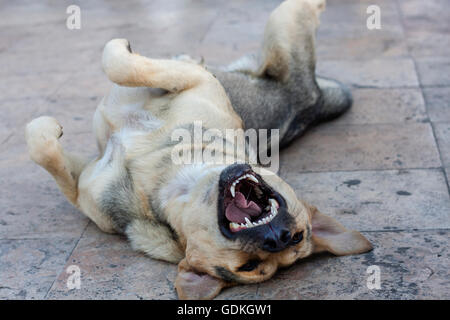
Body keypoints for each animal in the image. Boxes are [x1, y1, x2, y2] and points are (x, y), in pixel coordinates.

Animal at [26, 0, 372, 300]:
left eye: (247, 266)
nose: (277, 237)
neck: (169, 184)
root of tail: (313, 101)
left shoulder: (195, 80)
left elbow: (115, 62)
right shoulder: (86, 178)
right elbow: (44, 149)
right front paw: (48, 129)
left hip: (283, 33)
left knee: (298, 9)